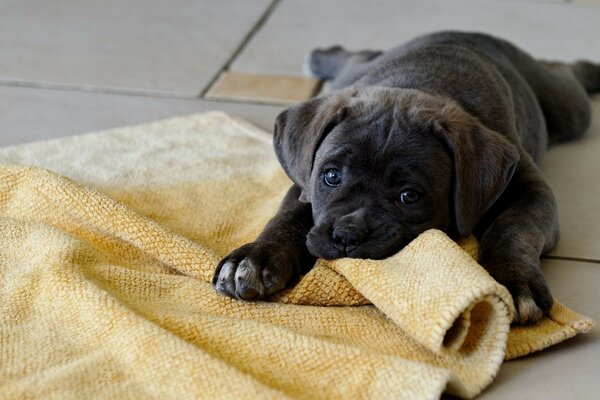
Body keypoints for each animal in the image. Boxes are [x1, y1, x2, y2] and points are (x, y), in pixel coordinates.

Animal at [213, 32, 596, 324]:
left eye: (409, 196)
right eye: (331, 176)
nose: (347, 235)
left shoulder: (531, 190)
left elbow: (512, 229)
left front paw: (510, 280)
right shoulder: (303, 184)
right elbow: (286, 217)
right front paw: (255, 257)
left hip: (568, 109)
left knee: (566, 74)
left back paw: (590, 69)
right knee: (357, 56)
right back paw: (324, 55)